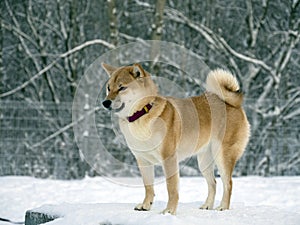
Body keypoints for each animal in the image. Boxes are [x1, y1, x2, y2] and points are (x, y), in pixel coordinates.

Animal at [102, 62, 250, 214]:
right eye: (109, 88)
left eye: (122, 87)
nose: (105, 102)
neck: (142, 113)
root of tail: (232, 104)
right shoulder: (143, 160)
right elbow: (148, 186)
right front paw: (145, 205)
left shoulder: (169, 158)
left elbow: (171, 188)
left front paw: (169, 211)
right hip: (204, 161)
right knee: (213, 183)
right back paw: (207, 205)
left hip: (222, 155)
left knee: (228, 183)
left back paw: (223, 207)